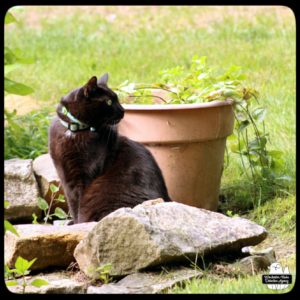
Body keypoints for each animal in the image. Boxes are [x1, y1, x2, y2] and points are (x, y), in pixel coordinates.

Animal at [49, 73, 171, 223]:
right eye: (108, 102)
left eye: (117, 99)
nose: (123, 110)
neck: (74, 130)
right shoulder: (64, 174)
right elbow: (72, 203)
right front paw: (74, 222)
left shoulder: (84, 174)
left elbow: (77, 203)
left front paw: (77, 223)